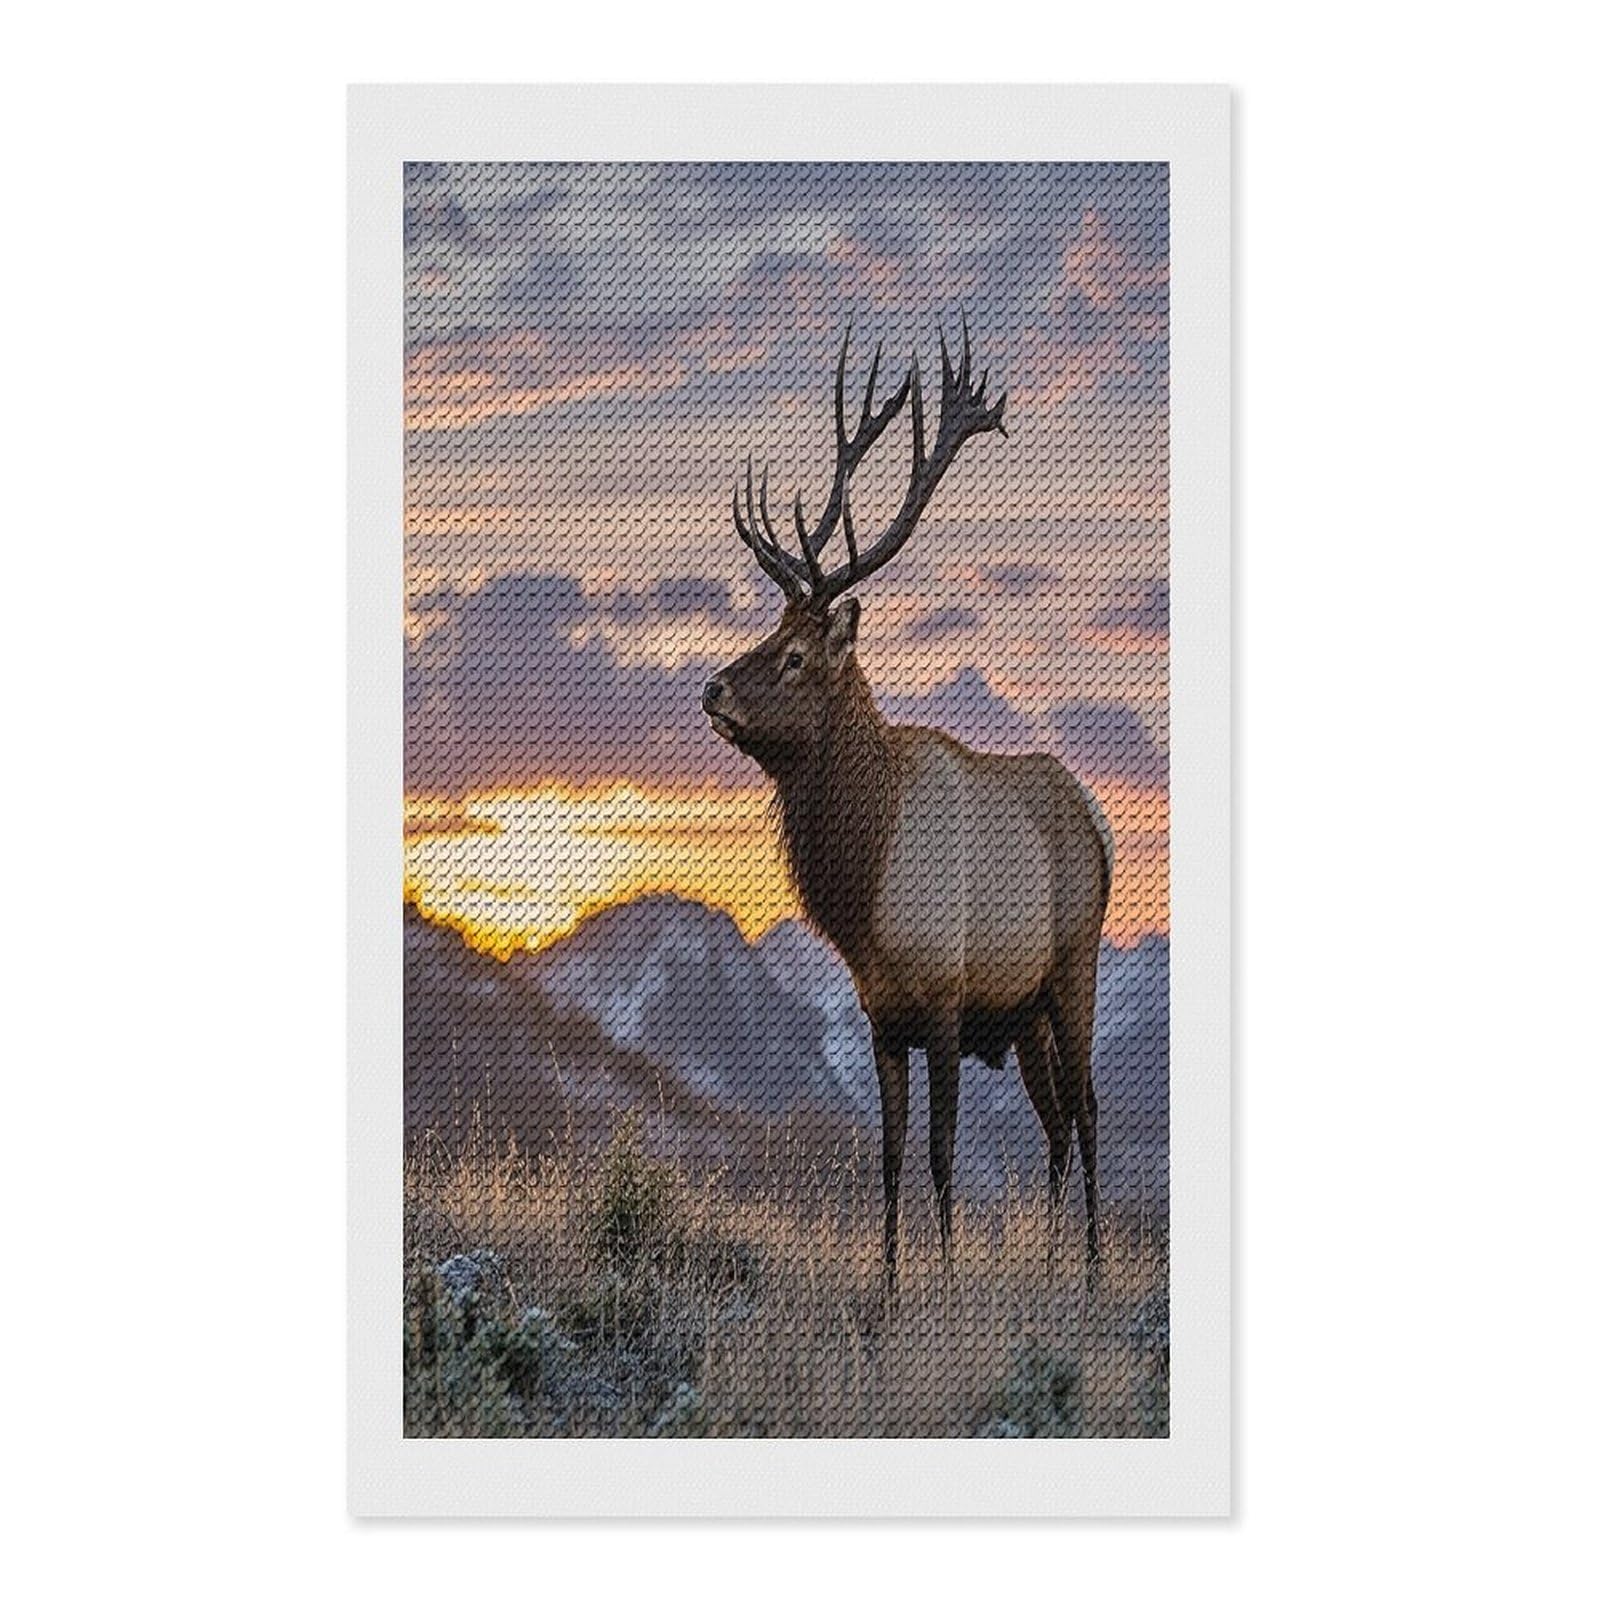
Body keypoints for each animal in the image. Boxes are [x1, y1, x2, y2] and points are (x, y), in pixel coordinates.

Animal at [701, 321, 1114, 1284]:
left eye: (795, 658)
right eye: (767, 633)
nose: (711, 689)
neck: (865, 891)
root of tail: (1098, 819)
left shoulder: (947, 999)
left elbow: (939, 1153)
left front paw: (951, 1286)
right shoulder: (885, 1018)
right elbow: (888, 1158)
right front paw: (888, 1290)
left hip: (1073, 966)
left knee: (1087, 1109)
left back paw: (1086, 1271)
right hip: (1026, 1013)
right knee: (1054, 1123)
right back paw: (1048, 1269)